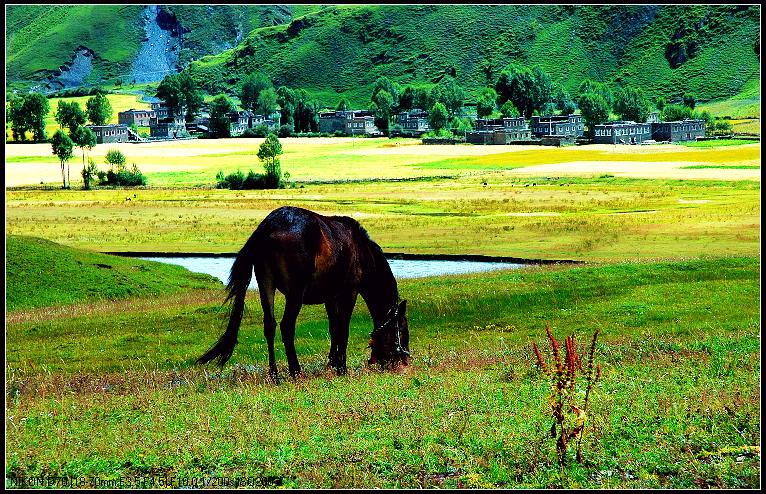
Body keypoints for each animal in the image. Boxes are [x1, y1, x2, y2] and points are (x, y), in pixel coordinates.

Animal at [201, 205, 412, 378]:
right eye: (402, 329)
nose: (405, 361)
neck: (362, 251)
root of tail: (267, 227)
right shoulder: (349, 293)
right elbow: (343, 328)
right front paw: (341, 368)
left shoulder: (331, 297)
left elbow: (334, 328)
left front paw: (332, 363)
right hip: (295, 293)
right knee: (287, 326)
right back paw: (295, 371)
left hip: (265, 283)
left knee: (270, 325)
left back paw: (275, 375)